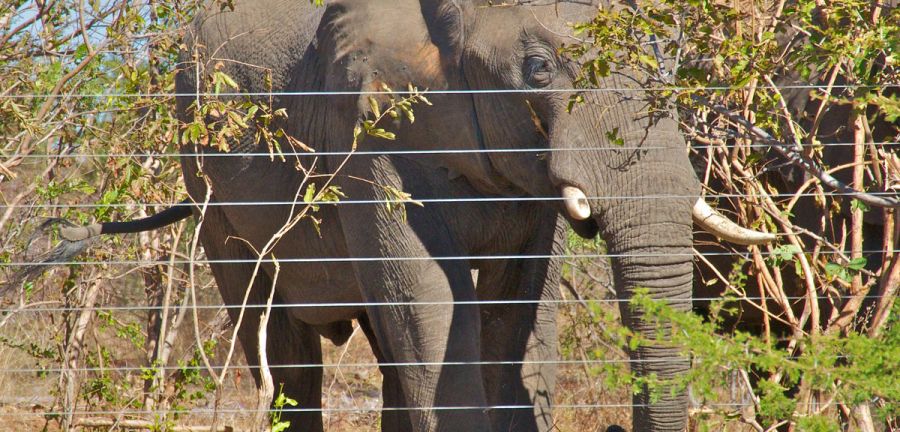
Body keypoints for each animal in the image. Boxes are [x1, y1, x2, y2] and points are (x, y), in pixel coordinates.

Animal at [42, 0, 772, 430]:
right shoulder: (371, 133)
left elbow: (516, 311)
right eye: (538, 69)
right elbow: (431, 304)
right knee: (286, 352)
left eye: (670, 63)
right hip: (205, 174)